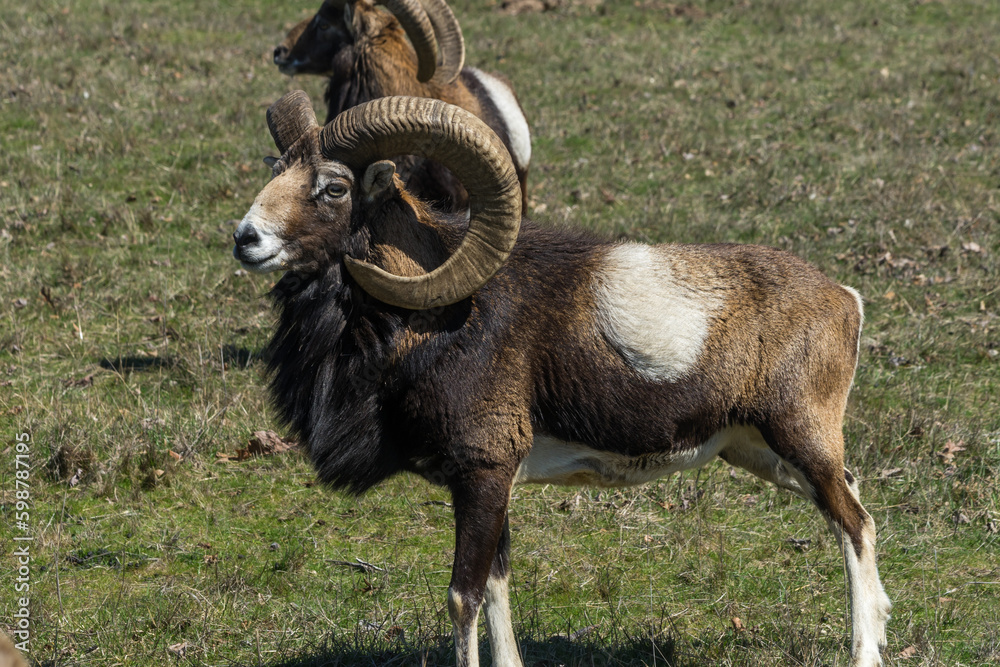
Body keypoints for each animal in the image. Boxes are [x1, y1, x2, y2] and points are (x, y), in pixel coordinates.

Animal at [232, 91, 892, 667]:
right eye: (278, 171)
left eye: (333, 187)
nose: (246, 239)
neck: (425, 327)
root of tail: (845, 300)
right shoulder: (484, 486)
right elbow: (497, 589)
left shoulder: (484, 473)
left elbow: (464, 597)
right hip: (761, 453)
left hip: (800, 439)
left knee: (855, 525)